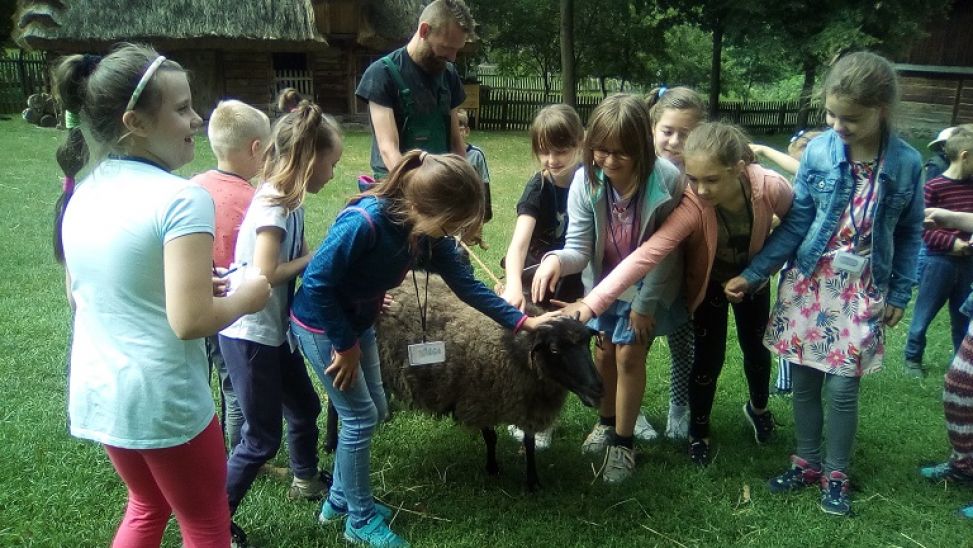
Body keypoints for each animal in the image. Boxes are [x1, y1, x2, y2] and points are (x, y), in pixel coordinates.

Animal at [326, 272, 600, 490]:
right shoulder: (479, 397)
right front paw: (492, 468)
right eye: (554, 349)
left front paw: (532, 481)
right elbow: (491, 437)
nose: (598, 390)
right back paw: (330, 444)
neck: (514, 349)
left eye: (587, 342)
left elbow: (529, 444)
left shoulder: (527, 404)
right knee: (334, 403)